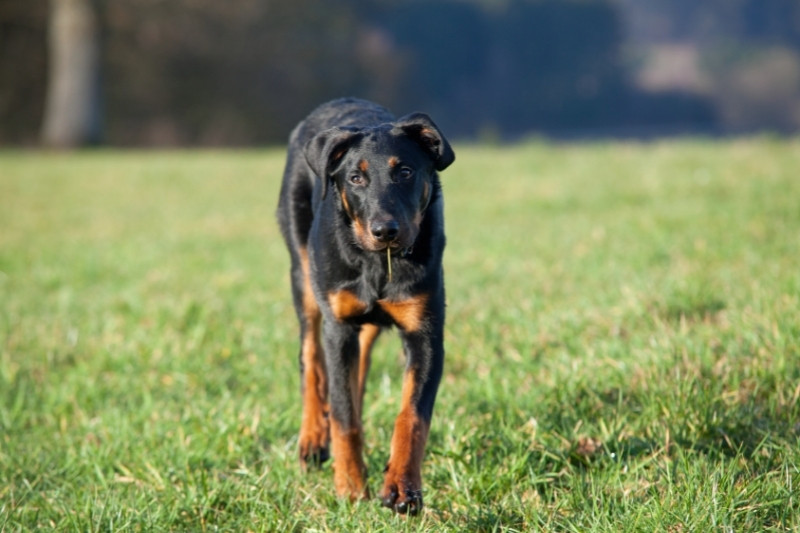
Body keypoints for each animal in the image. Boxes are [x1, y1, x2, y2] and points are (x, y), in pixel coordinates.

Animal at [276, 97, 454, 512]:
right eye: (355, 178)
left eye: (405, 171)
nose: (385, 230)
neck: (379, 263)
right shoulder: (338, 326)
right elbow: (344, 416)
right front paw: (351, 487)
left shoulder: (425, 333)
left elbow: (412, 415)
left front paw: (402, 488)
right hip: (303, 276)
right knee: (311, 358)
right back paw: (313, 439)